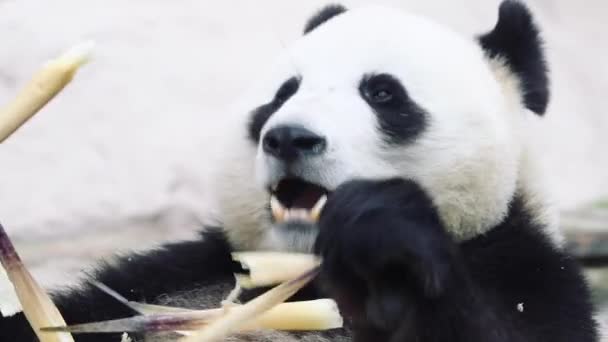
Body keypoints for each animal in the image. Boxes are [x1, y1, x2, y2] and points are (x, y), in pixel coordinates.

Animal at [0, 0, 600, 342]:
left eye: (383, 93)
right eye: (284, 93)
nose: (290, 136)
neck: (300, 267)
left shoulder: (525, 268)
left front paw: (383, 234)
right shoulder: (183, 270)